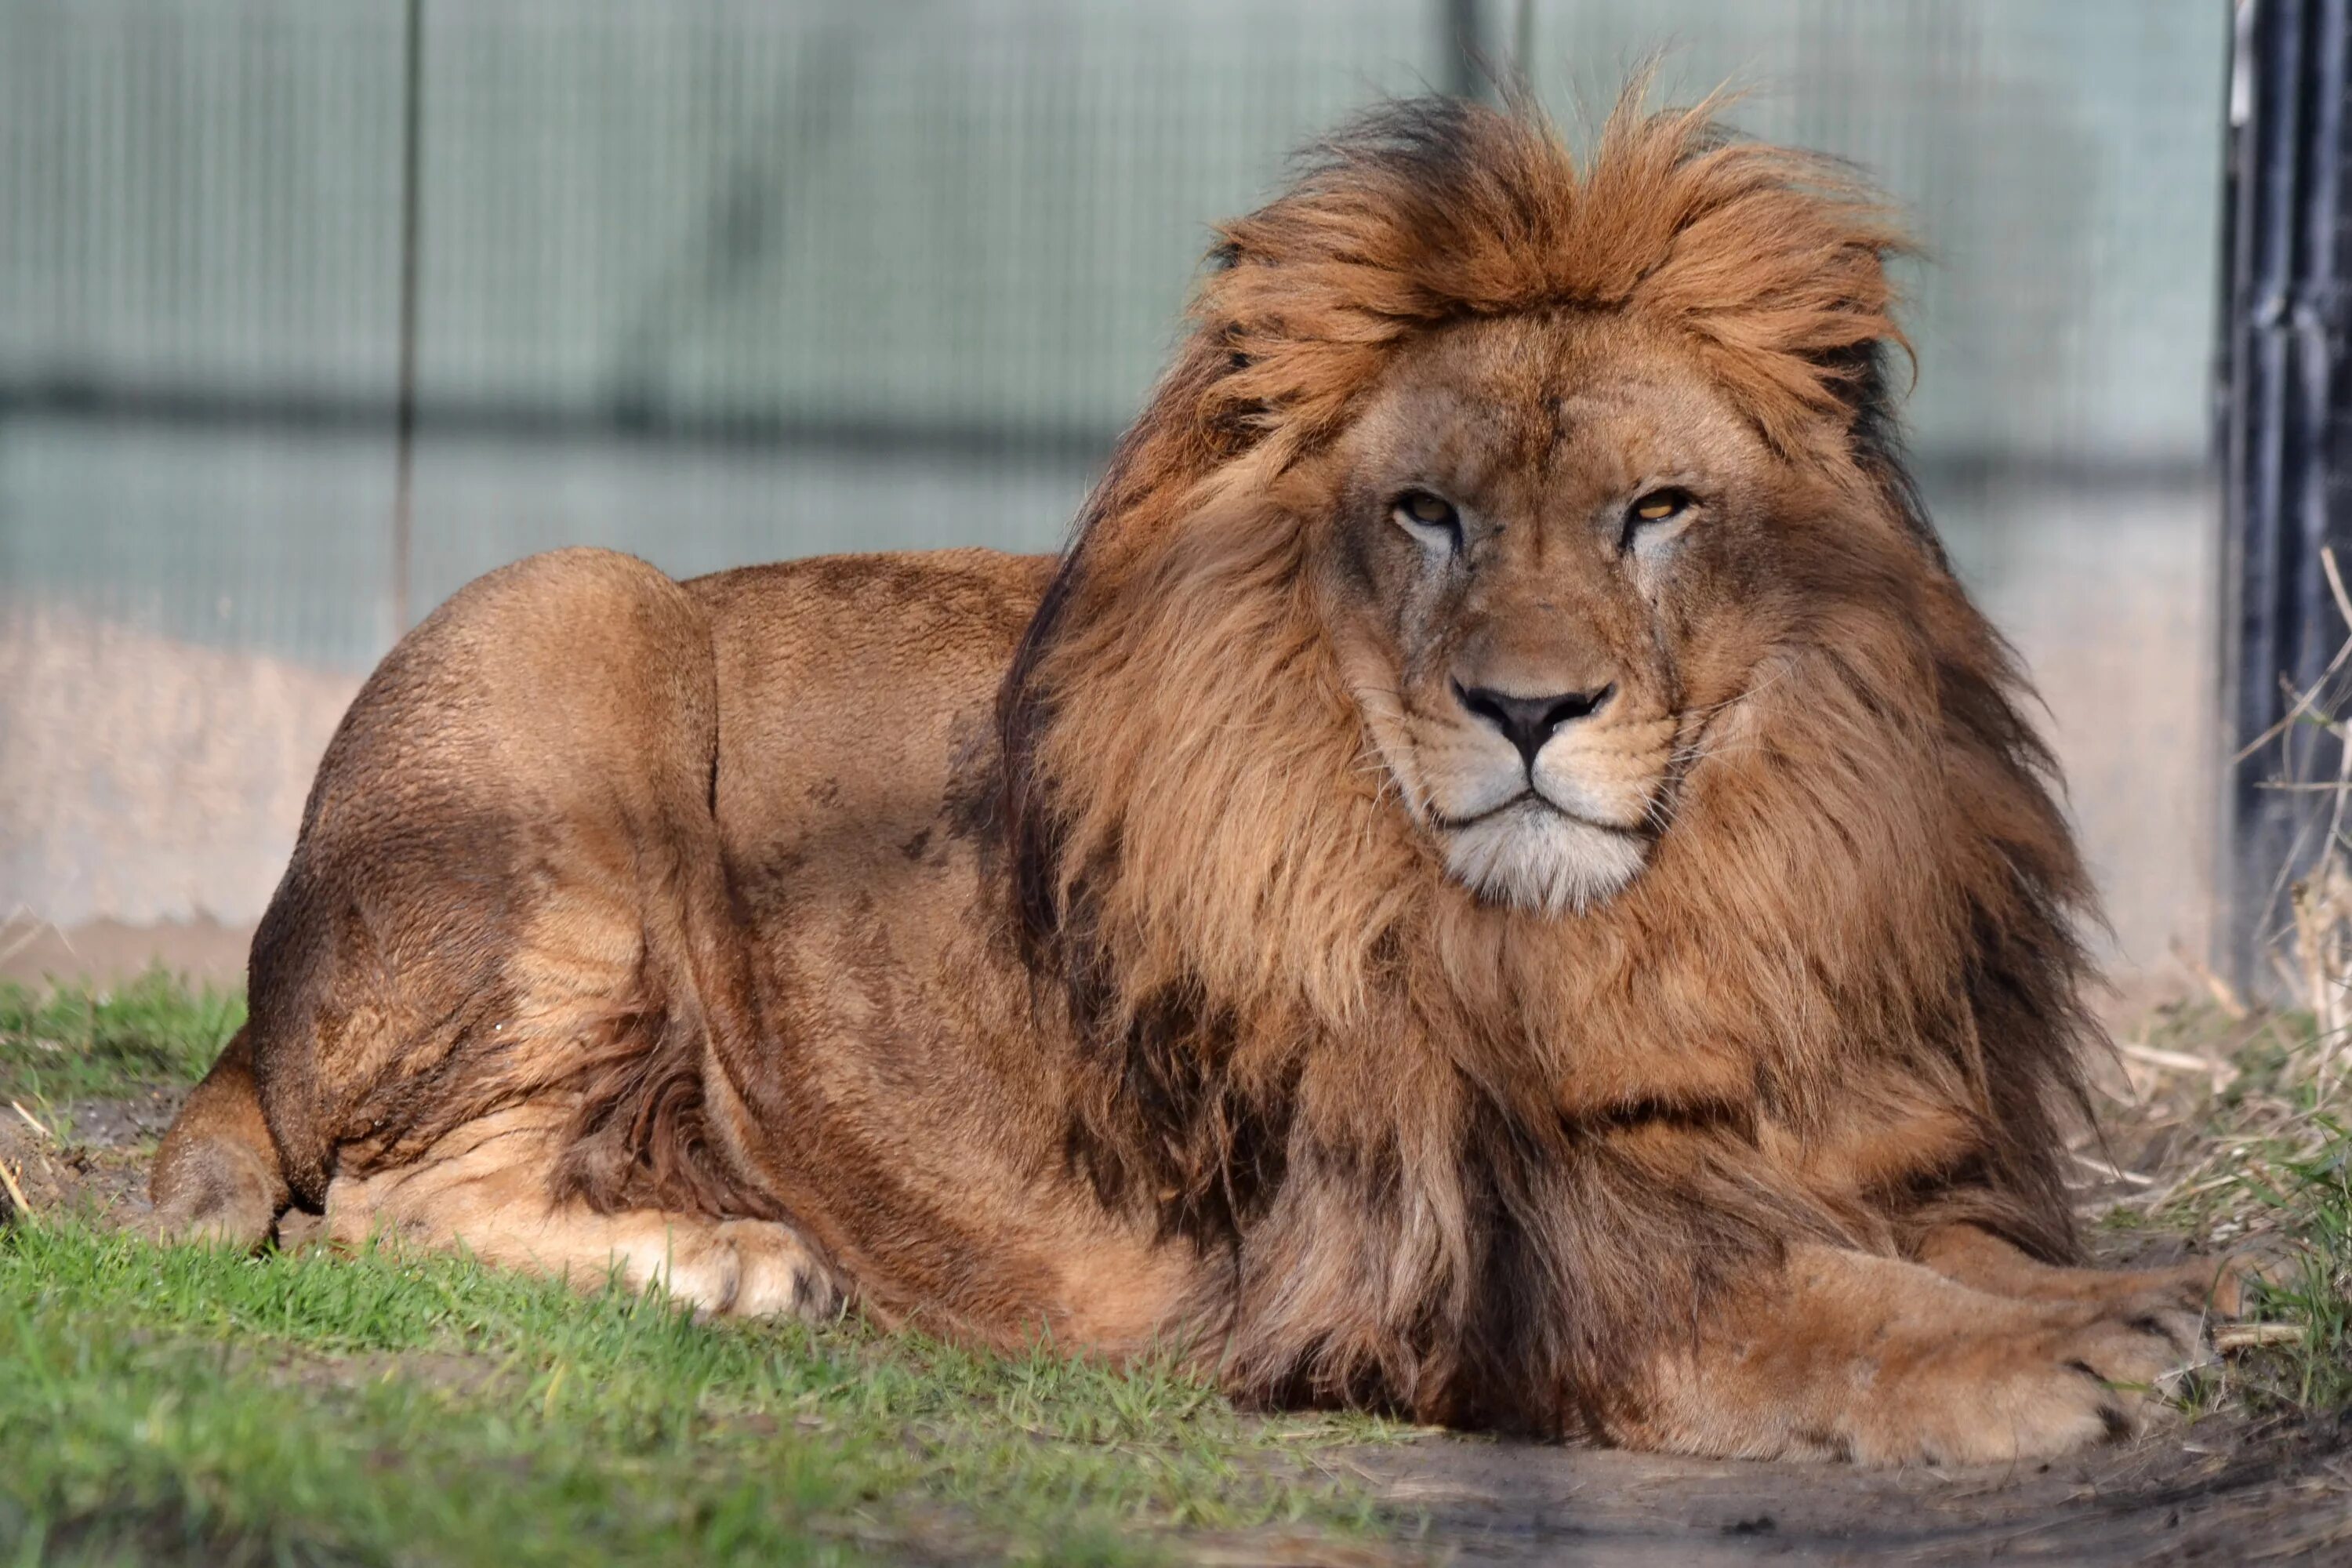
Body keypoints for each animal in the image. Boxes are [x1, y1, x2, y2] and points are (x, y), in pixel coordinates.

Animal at [147, 95, 2239, 1476]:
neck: (1649, 929)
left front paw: (2121, 1294)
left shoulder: (1868, 1129)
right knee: (385, 1202)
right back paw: (728, 1261)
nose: (1529, 708)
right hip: (573, 610)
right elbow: (1792, 1303)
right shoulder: (1439, 1254)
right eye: (1426, 511)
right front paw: (2091, 1346)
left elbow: (1906, 1240)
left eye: (1655, 512)